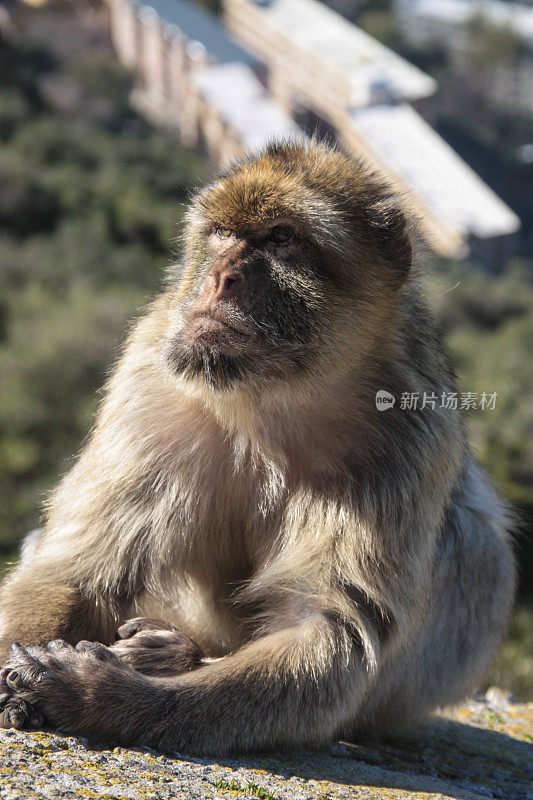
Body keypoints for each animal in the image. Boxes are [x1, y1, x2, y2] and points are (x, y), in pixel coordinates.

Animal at [0, 139, 512, 756]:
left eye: (280, 238)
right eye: (223, 234)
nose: (222, 277)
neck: (269, 398)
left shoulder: (408, 435)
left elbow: (323, 626)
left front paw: (97, 694)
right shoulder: (149, 388)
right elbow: (77, 571)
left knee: (476, 542)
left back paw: (168, 656)